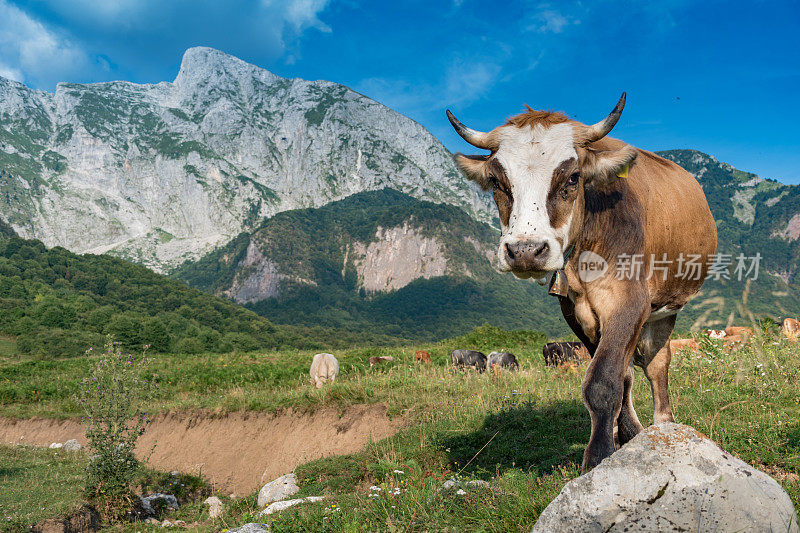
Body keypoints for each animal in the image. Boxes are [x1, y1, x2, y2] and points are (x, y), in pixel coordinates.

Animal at [446, 93, 716, 472]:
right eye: (497, 182)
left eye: (573, 178)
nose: (525, 250)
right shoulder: (574, 312)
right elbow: (616, 376)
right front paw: (624, 437)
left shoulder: (630, 302)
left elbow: (603, 381)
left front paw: (599, 457)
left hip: (664, 310)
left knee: (656, 365)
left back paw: (664, 423)